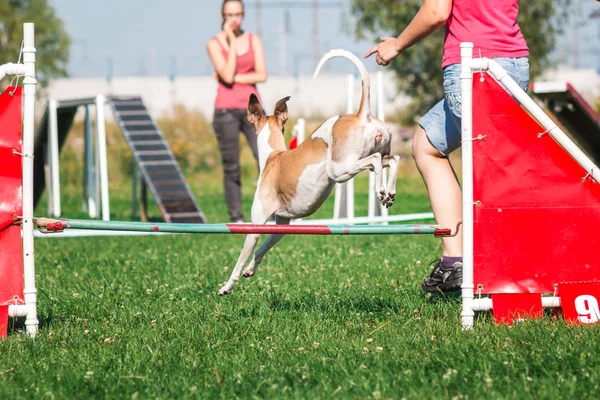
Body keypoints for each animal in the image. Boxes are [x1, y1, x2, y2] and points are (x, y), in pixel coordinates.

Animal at [218, 49, 400, 294]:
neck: (273, 157)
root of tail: (363, 116)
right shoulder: (282, 226)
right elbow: (261, 250)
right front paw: (250, 270)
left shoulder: (256, 226)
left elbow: (239, 260)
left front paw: (227, 286)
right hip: (369, 156)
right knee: (393, 159)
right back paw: (389, 193)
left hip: (339, 169)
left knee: (376, 161)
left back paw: (380, 190)